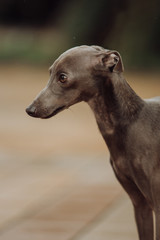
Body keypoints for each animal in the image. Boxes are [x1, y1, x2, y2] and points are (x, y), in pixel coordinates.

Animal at [25, 45, 159, 240]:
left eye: (63, 77)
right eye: (50, 72)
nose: (30, 109)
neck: (132, 121)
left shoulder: (157, 204)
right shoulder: (140, 204)